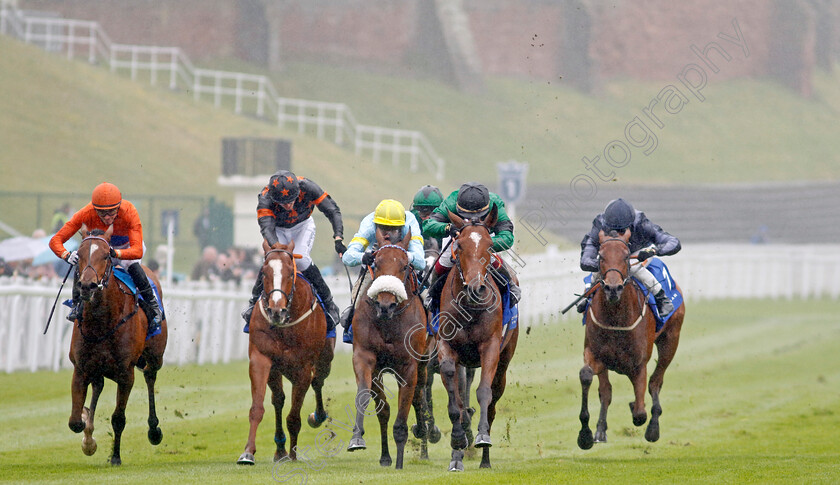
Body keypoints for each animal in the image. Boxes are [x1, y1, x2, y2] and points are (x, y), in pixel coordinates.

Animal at [69, 227, 169, 466]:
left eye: (106, 255)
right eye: (79, 254)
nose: (87, 285)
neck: (101, 322)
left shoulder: (126, 373)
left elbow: (118, 418)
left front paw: (115, 456)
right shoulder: (80, 368)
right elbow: (75, 421)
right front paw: (88, 438)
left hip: (155, 357)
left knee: (150, 377)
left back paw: (154, 430)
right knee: (98, 385)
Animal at [236, 240, 334, 464]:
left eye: (290, 273)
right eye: (263, 272)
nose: (275, 311)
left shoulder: (303, 368)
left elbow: (294, 417)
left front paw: (294, 454)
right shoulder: (261, 358)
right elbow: (257, 408)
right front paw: (248, 452)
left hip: (325, 359)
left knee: (318, 381)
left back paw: (317, 417)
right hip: (277, 369)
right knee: (278, 399)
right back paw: (280, 449)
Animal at [346, 227, 430, 468]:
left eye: (404, 266)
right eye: (376, 263)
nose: (385, 305)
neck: (388, 322)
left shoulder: (409, 366)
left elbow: (403, 413)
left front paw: (400, 463)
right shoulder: (366, 358)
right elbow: (369, 400)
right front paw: (357, 437)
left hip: (424, 361)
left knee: (419, 396)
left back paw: (423, 435)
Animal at [436, 206, 516, 470]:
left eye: (490, 246)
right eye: (459, 245)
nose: (476, 288)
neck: (469, 307)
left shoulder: (490, 346)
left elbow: (483, 393)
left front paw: (481, 436)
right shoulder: (445, 345)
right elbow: (456, 403)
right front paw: (458, 441)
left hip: (504, 360)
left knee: (492, 404)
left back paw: (485, 460)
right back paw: (457, 457)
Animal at [576, 229, 688, 448]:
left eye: (627, 256)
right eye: (600, 256)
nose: (613, 288)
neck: (616, 319)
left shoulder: (638, 365)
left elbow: (639, 413)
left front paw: (640, 413)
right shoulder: (596, 355)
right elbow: (588, 377)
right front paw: (585, 434)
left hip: (671, 341)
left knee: (655, 382)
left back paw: (653, 427)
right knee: (606, 391)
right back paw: (601, 430)